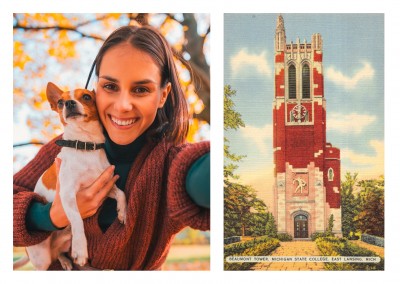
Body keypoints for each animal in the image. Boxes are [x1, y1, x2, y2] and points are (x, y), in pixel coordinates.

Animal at [16, 82, 126, 270]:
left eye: (87, 97)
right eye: (60, 102)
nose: (68, 103)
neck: (85, 145)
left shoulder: (105, 186)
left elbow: (121, 193)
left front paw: (123, 212)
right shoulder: (68, 194)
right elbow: (77, 220)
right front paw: (81, 251)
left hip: (65, 241)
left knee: (60, 252)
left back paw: (66, 260)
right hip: (41, 258)